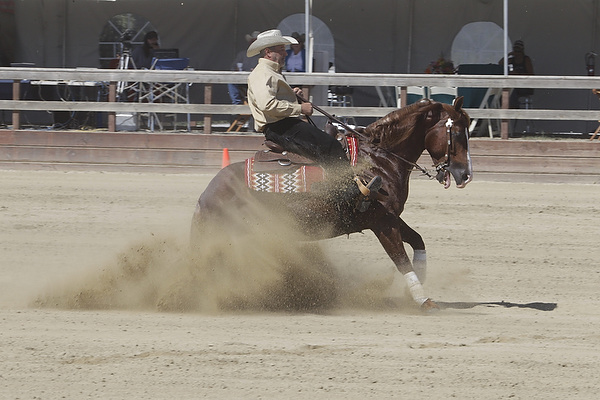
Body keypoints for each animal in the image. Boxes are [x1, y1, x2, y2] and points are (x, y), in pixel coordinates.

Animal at [191, 97, 473, 310]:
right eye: (458, 133)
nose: (465, 175)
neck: (377, 162)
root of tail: (207, 195)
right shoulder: (382, 222)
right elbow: (400, 259)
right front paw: (423, 300)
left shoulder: (391, 217)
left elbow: (417, 240)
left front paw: (417, 287)